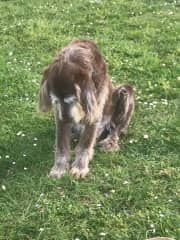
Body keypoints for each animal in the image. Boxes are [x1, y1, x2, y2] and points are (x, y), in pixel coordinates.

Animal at [38, 39, 134, 178]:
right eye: (55, 101)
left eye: (72, 100)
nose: (67, 120)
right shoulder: (59, 116)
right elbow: (61, 146)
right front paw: (59, 168)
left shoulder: (94, 114)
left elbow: (85, 145)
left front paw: (80, 167)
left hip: (125, 90)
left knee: (117, 128)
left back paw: (110, 142)